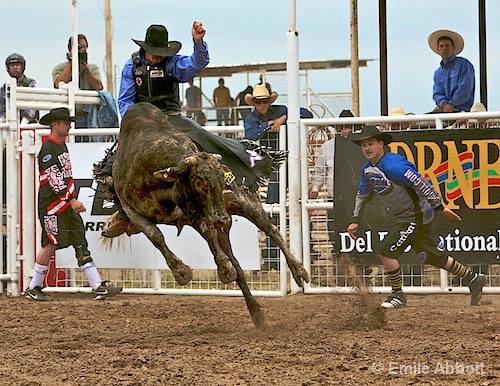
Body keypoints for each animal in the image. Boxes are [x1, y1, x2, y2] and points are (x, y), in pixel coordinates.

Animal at [94, 102, 308, 326]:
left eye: (222, 179)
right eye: (200, 182)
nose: (222, 218)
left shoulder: (195, 212)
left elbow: (207, 233)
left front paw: (220, 268)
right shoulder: (132, 210)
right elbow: (156, 235)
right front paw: (182, 271)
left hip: (245, 201)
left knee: (270, 228)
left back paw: (299, 270)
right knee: (238, 265)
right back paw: (256, 312)